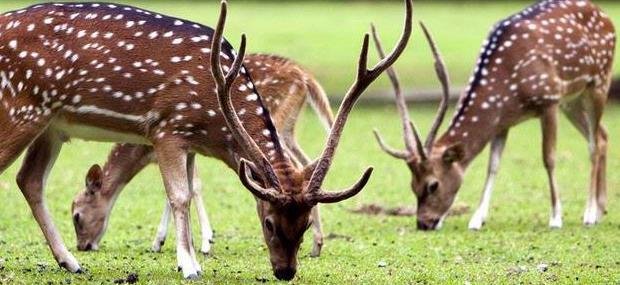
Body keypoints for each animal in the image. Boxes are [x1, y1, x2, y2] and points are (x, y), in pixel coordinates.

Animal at [71, 51, 340, 258]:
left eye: (76, 216)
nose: (83, 246)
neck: (142, 148)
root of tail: (305, 75)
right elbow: (183, 188)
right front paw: (167, 242)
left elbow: (191, 187)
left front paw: (202, 243)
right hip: (287, 129)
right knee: (304, 164)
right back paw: (316, 244)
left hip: (274, 124)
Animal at [372, 0, 616, 231]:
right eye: (412, 185)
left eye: (433, 184)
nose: (424, 223)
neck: (508, 90)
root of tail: (605, 15)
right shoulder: (502, 122)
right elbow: (493, 165)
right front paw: (476, 219)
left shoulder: (549, 100)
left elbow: (549, 158)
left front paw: (556, 218)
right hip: (572, 100)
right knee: (603, 136)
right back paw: (601, 208)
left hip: (599, 82)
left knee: (593, 144)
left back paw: (589, 214)